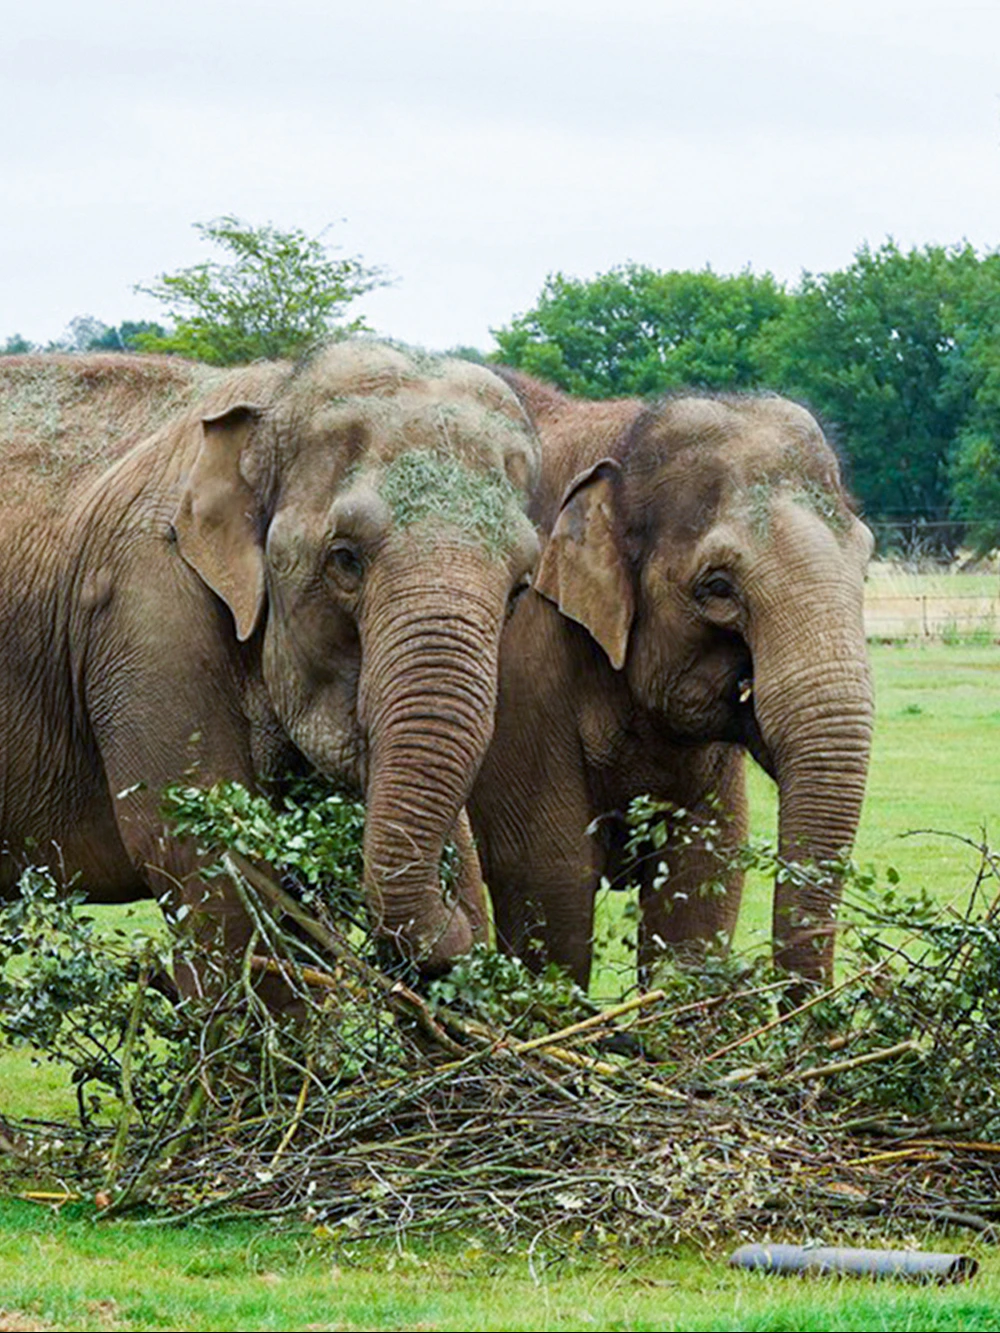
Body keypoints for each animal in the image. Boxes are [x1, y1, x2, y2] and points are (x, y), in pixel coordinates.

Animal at [0, 342, 540, 996]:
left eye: (520, 588)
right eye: (345, 560)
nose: (460, 929)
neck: (275, 391)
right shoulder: (144, 609)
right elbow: (200, 853)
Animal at [467, 371, 874, 991]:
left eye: (867, 564)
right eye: (718, 587)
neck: (621, 433)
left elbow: (702, 878)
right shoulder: (519, 666)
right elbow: (547, 877)